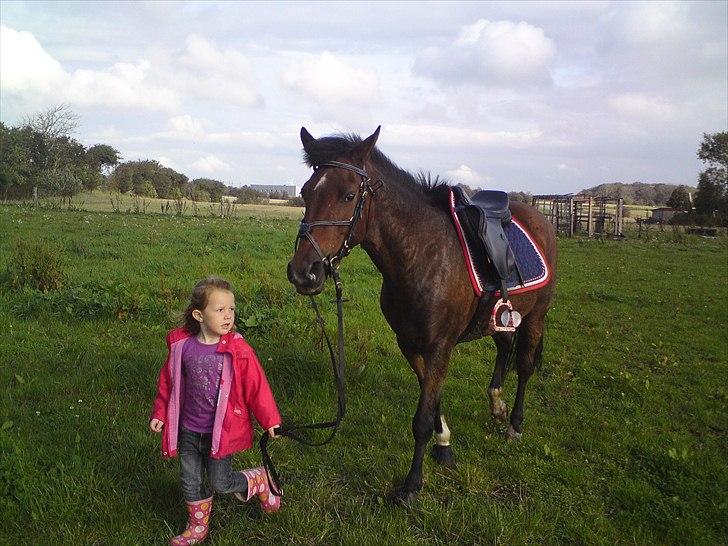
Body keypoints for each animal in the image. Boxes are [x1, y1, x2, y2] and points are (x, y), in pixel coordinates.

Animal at [287, 126, 557, 504]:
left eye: (349, 195)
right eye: (306, 192)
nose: (303, 272)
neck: (422, 255)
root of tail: (539, 218)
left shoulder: (440, 346)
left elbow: (422, 419)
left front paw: (412, 485)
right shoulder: (410, 344)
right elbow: (433, 401)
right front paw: (444, 446)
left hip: (536, 316)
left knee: (526, 365)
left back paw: (514, 424)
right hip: (503, 316)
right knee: (505, 349)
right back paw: (497, 405)